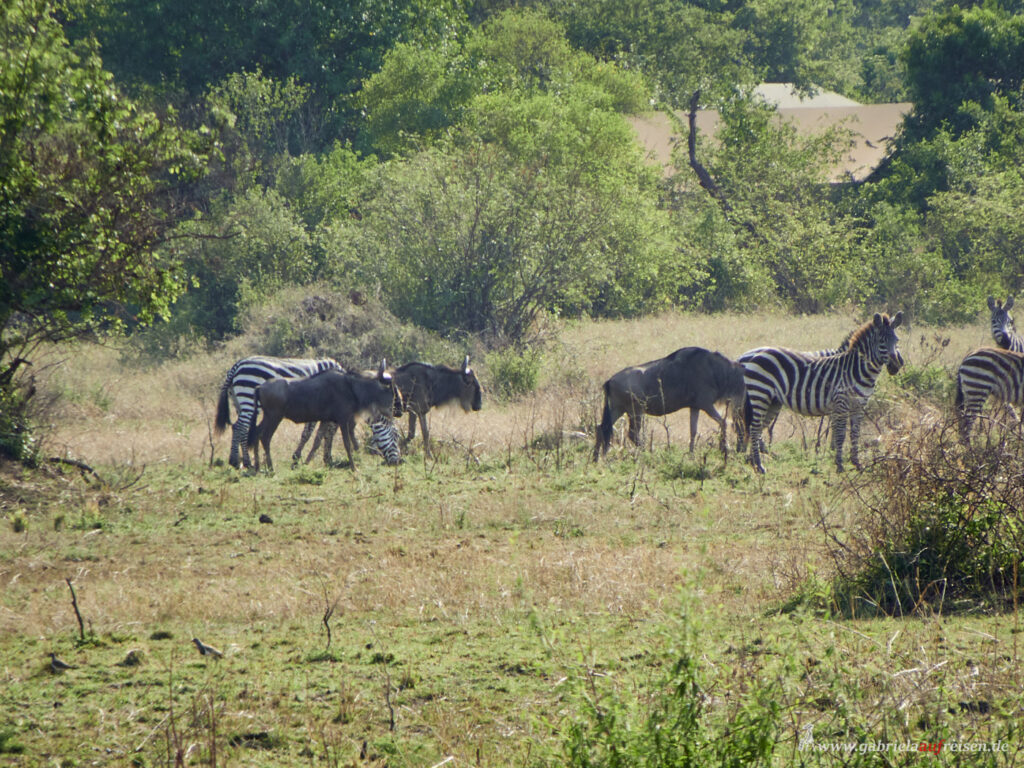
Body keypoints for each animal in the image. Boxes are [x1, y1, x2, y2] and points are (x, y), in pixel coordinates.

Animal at [214, 358, 342, 473]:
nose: (329, 461)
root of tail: (236, 366)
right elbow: (309, 434)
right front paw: (296, 459)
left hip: (237, 401)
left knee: (237, 427)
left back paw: (239, 462)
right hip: (248, 397)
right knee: (241, 427)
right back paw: (243, 462)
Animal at [737, 313, 905, 475]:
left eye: (897, 340)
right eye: (882, 341)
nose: (897, 364)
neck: (857, 369)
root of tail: (750, 355)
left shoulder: (859, 406)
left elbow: (855, 434)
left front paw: (857, 464)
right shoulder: (840, 403)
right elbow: (840, 434)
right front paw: (839, 465)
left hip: (772, 401)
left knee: (757, 429)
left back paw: (754, 461)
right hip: (760, 393)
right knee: (754, 428)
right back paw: (759, 465)